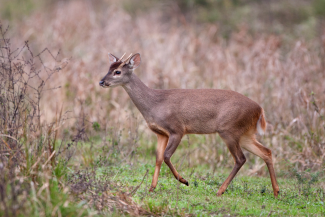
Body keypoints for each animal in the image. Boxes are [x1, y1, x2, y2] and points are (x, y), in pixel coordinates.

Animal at [98, 52, 278, 197]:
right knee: (266, 152)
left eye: (117, 71)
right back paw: (276, 191)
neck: (155, 104)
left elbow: (166, 156)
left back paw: (220, 190)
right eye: (108, 68)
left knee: (240, 159)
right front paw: (151, 188)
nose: (101, 82)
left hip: (229, 130)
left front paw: (184, 180)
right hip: (244, 133)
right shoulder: (161, 133)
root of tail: (259, 109)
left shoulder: (177, 129)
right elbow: (158, 158)